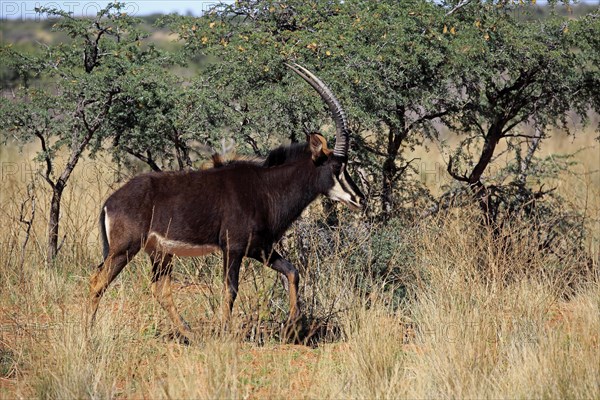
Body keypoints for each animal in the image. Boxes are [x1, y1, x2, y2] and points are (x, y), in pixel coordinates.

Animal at [86, 63, 364, 340]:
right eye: (337, 167)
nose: (359, 198)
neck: (265, 188)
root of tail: (110, 202)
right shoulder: (234, 248)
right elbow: (231, 289)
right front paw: (226, 333)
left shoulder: (259, 248)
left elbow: (292, 272)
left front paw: (292, 325)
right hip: (125, 249)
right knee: (98, 281)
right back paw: (89, 334)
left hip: (160, 253)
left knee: (159, 289)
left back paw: (189, 334)